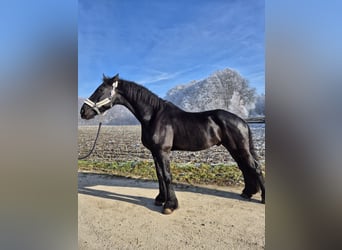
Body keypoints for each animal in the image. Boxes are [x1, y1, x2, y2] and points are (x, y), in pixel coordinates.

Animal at [80, 73, 264, 214]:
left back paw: (262, 198)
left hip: (240, 148)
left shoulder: (163, 152)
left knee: (254, 168)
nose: (83, 111)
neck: (154, 115)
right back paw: (247, 193)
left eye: (100, 90)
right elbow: (160, 175)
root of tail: (242, 120)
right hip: (234, 148)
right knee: (245, 168)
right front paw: (160, 199)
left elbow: (167, 176)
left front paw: (170, 205)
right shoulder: (155, 152)